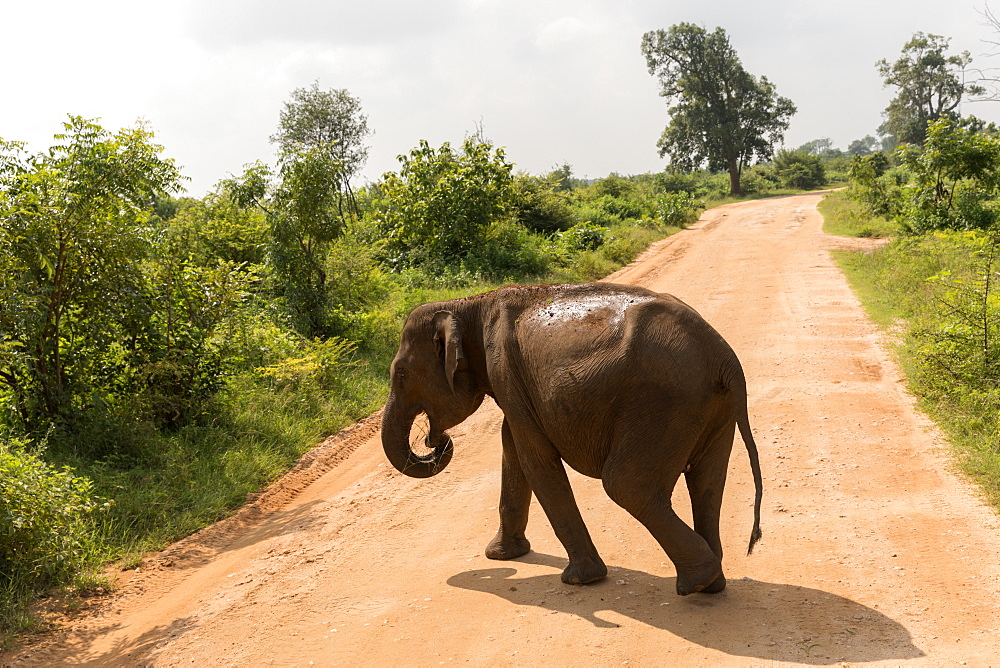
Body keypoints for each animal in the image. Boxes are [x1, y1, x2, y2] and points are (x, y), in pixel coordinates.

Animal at [382, 282, 764, 596]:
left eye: (400, 374)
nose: (436, 441)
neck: (469, 305)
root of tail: (724, 357)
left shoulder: (505, 371)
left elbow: (534, 459)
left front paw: (580, 580)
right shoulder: (513, 384)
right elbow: (512, 447)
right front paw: (502, 555)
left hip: (663, 403)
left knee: (627, 486)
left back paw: (696, 582)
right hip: (710, 407)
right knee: (706, 481)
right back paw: (712, 585)